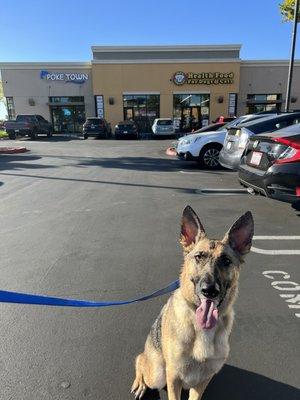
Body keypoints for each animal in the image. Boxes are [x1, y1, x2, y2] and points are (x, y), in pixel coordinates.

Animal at [131, 205, 253, 398]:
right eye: (199, 257)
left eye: (226, 261)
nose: (209, 291)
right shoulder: (173, 377)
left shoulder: (204, 379)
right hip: (157, 374)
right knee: (140, 359)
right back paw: (140, 383)